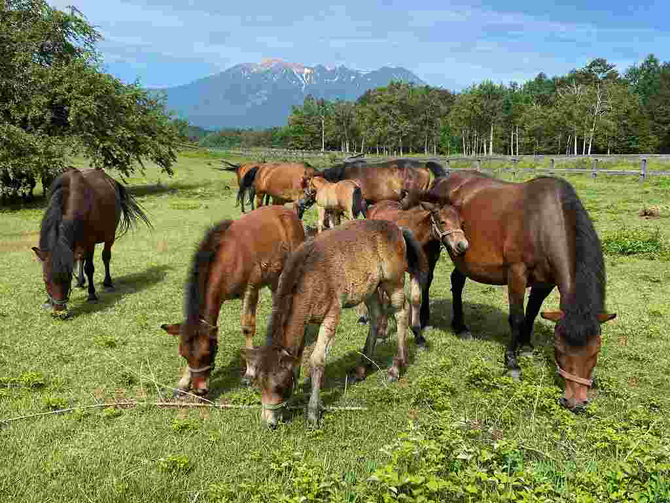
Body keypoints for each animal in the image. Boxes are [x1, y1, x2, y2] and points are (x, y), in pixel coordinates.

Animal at [32, 167, 151, 318]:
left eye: (68, 278)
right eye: (45, 279)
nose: (59, 312)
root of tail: (111, 180)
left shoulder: (90, 243)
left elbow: (89, 268)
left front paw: (92, 294)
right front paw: (48, 300)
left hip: (109, 237)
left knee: (106, 257)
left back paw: (107, 283)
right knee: (80, 258)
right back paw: (80, 282)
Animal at [159, 205, 306, 397]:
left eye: (207, 353)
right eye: (184, 355)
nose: (200, 390)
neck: (227, 259)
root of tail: (289, 212)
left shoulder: (251, 288)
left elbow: (247, 327)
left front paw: (249, 373)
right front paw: (183, 382)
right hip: (274, 277)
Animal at [241, 219, 429, 428]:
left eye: (279, 386)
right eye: (258, 385)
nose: (269, 423)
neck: (309, 276)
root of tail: (398, 229)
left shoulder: (332, 314)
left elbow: (316, 360)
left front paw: (313, 411)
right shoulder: (305, 320)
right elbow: (298, 356)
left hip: (393, 281)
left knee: (401, 312)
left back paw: (396, 367)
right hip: (371, 288)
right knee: (377, 316)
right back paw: (361, 368)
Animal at [400, 171, 617, 410]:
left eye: (595, 351)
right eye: (559, 348)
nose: (575, 402)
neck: (542, 223)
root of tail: (443, 179)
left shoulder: (545, 283)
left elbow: (531, 313)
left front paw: (526, 345)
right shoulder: (516, 274)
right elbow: (517, 317)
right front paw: (512, 363)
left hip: (462, 258)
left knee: (457, 283)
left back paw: (461, 327)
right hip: (432, 247)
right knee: (427, 280)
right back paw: (425, 320)